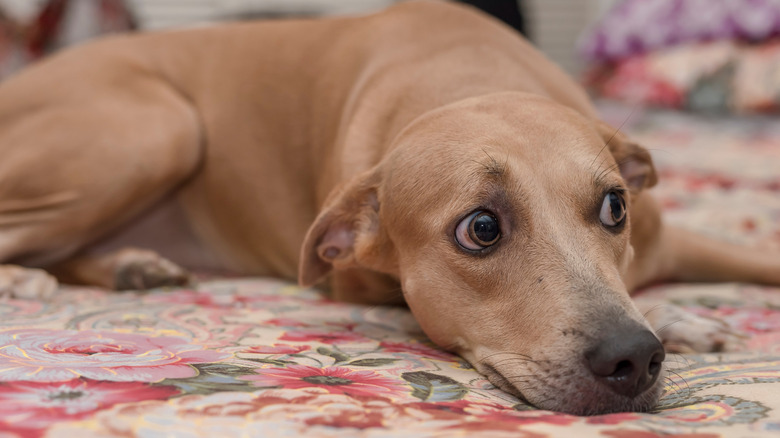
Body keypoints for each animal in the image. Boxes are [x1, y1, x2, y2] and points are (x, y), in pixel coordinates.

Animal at [1, 0, 780, 418]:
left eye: (615, 207)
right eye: (481, 229)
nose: (634, 356)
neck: (469, 83)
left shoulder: (678, 241)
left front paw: (677, 315)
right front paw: (676, 317)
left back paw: (131, 265)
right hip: (156, 126)